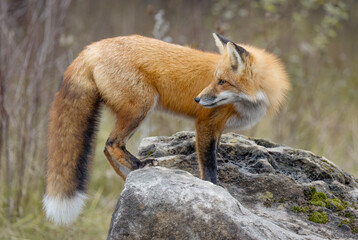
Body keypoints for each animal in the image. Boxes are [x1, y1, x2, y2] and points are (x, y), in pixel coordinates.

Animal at [43, 32, 290, 224]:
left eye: (222, 82)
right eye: (216, 80)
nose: (197, 99)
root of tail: (92, 47)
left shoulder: (217, 128)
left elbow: (213, 153)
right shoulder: (206, 122)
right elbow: (209, 164)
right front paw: (215, 188)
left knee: (106, 149)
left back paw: (129, 176)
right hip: (141, 108)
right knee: (111, 144)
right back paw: (140, 164)